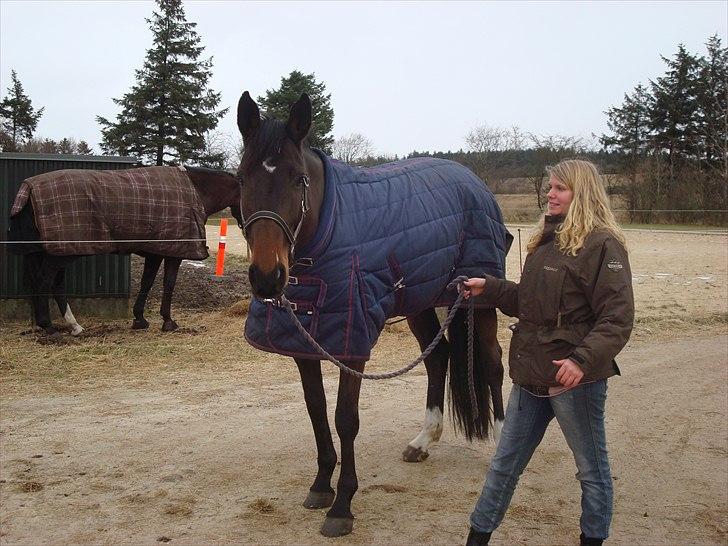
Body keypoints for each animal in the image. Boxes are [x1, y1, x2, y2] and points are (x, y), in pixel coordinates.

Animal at [8, 166, 242, 334]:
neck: (195, 191)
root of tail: (29, 189)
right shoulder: (174, 253)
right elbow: (168, 284)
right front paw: (168, 321)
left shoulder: (155, 252)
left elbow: (147, 282)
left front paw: (140, 319)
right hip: (59, 255)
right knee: (45, 282)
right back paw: (48, 325)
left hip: (49, 253)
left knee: (52, 284)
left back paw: (73, 326)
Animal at [236, 90, 510, 536]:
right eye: (242, 178)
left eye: (297, 178)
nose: (266, 276)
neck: (328, 231)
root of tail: (473, 181)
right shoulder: (304, 343)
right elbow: (316, 409)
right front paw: (321, 485)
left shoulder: (353, 344)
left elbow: (345, 418)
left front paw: (343, 505)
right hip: (420, 301)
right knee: (438, 357)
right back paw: (423, 440)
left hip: (477, 296)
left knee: (490, 363)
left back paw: (502, 442)